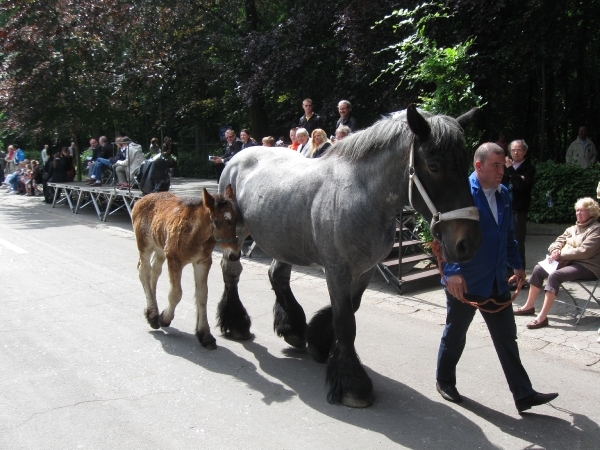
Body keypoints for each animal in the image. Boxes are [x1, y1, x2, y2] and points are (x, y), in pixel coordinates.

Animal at [216, 104, 482, 408]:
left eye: (466, 163)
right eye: (434, 166)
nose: (468, 243)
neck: (362, 194)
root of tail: (237, 158)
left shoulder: (365, 270)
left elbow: (350, 309)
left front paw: (318, 342)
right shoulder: (337, 271)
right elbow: (345, 321)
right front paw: (351, 384)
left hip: (282, 238)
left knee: (278, 276)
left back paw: (293, 329)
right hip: (236, 234)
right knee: (231, 271)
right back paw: (236, 324)